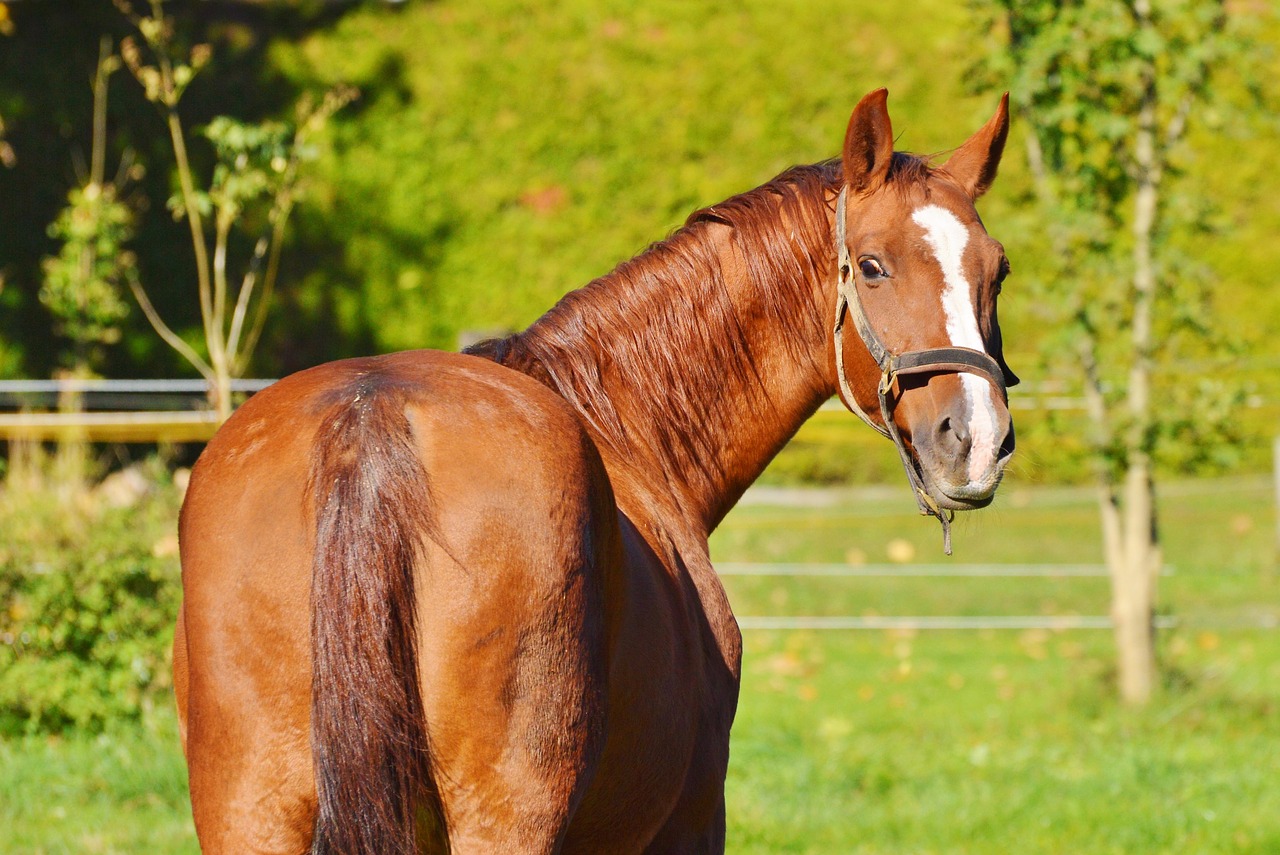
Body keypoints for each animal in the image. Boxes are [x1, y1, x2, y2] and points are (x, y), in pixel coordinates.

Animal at [172, 90, 1018, 849]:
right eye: (871, 266)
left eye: (998, 271)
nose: (975, 438)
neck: (626, 432)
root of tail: (368, 415)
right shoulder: (689, 819)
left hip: (250, 811)